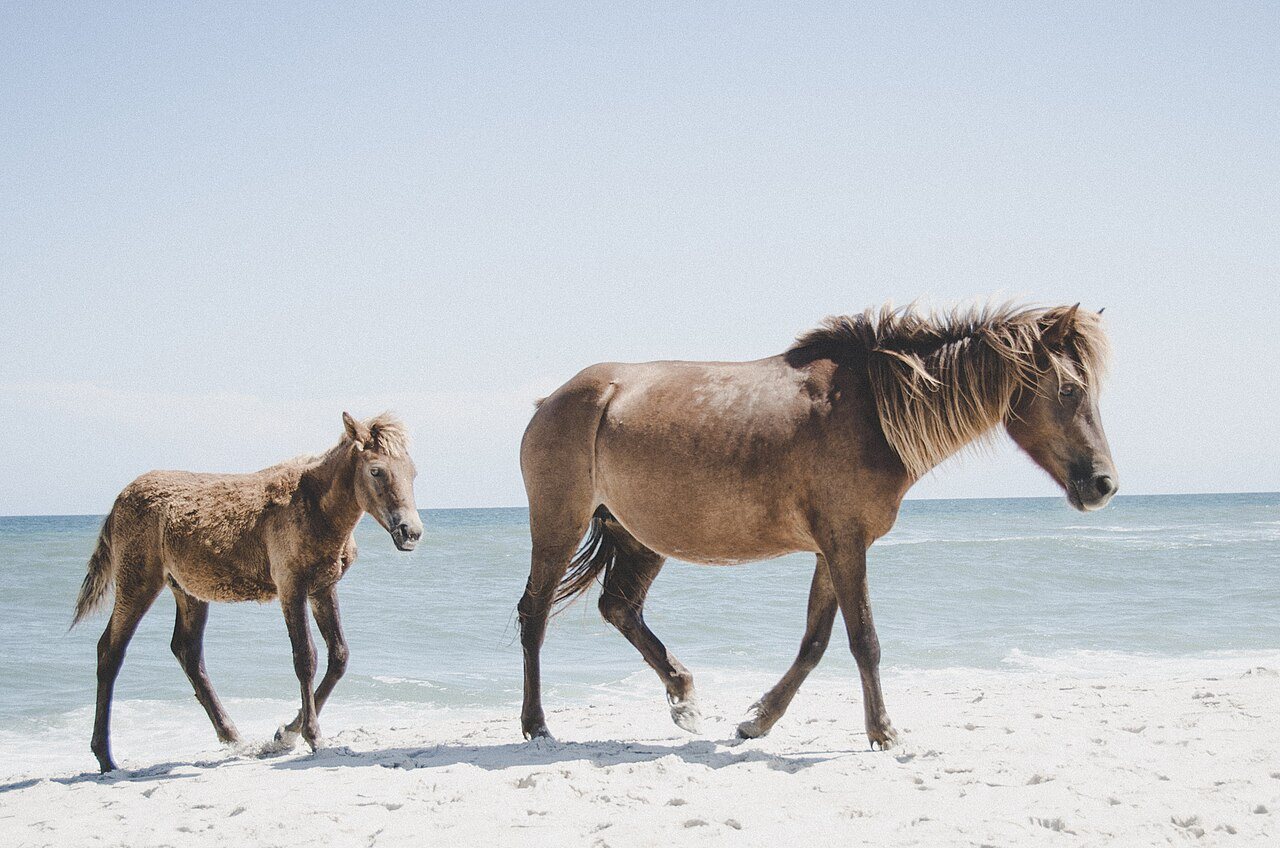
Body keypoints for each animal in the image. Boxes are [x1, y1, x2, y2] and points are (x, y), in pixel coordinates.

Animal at [72, 412, 423, 772]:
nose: (410, 532)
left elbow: (339, 656)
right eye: (376, 471)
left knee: (187, 651)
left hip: (188, 590)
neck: (315, 506)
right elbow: (305, 658)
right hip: (138, 580)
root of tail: (118, 501)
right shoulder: (291, 587)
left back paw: (232, 735)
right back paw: (105, 757)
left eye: (413, 472)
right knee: (110, 651)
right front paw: (309, 735)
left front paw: (286, 733)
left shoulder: (323, 588)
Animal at [517, 303, 1116, 748]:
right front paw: (884, 732)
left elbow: (815, 642)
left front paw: (758, 720)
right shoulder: (846, 544)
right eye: (1068, 389)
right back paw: (537, 724)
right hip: (559, 525)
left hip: (639, 537)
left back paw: (684, 698)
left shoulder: (834, 549)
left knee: (618, 607)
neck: (872, 411)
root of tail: (553, 398)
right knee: (535, 614)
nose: (1104, 484)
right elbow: (864, 640)